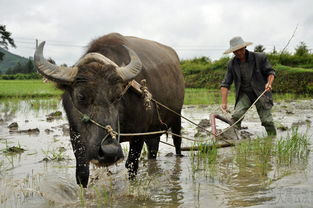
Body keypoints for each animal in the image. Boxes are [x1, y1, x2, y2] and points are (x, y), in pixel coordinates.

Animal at [34, 33, 184, 188]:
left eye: (118, 96)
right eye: (81, 96)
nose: (109, 152)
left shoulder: (139, 134)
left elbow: (132, 165)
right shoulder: (75, 134)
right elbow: (82, 173)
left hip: (177, 117)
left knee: (177, 143)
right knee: (153, 150)